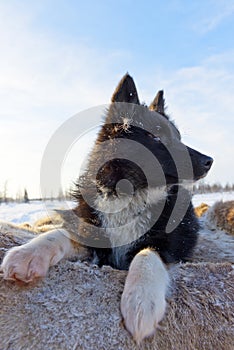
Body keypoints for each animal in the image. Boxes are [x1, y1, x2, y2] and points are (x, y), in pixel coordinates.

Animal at [0, 74, 213, 344]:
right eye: (156, 136)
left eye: (179, 136)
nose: (209, 161)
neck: (131, 194)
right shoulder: (94, 235)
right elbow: (60, 233)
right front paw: (28, 253)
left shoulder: (169, 246)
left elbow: (147, 254)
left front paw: (141, 299)